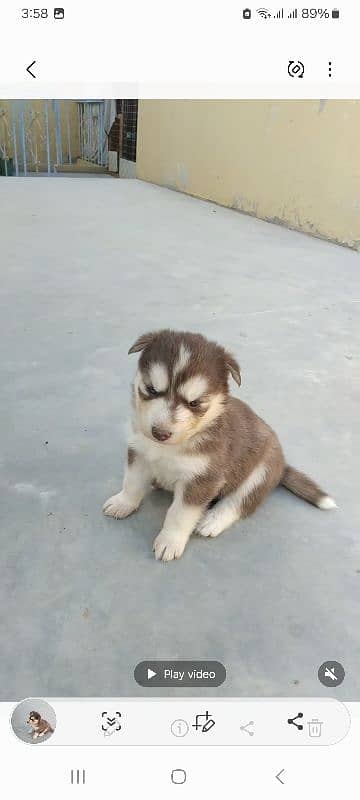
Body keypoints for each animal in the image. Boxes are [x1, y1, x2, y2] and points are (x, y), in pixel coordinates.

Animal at [102, 328, 336, 560]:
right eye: (151, 390)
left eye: (195, 403)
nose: (160, 433)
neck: (172, 446)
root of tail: (283, 465)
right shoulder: (139, 452)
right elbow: (132, 483)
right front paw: (123, 503)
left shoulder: (202, 479)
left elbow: (179, 514)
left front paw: (170, 541)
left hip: (261, 472)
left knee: (239, 502)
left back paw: (212, 520)